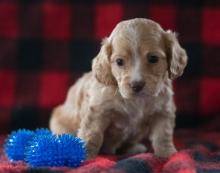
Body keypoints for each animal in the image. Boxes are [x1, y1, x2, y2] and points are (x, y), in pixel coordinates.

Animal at [49, 18, 187, 159]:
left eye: (153, 58)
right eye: (119, 61)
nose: (136, 85)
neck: (137, 100)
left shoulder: (163, 111)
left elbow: (162, 134)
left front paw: (167, 154)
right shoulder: (97, 111)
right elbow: (92, 134)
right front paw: (86, 156)